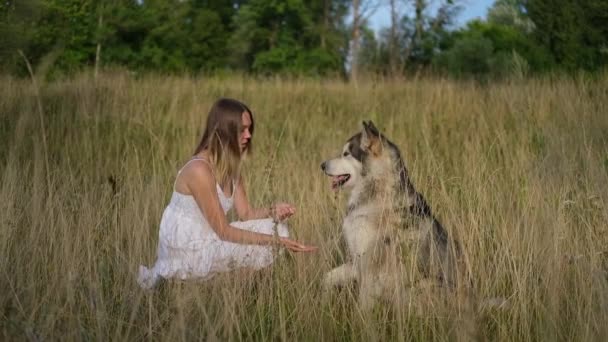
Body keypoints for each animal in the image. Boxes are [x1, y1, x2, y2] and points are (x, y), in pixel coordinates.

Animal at [320, 121, 468, 312]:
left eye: (346, 154)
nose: (322, 165)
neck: (377, 191)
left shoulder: (370, 265)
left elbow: (363, 302)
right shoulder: (357, 261)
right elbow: (327, 277)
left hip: (422, 284)